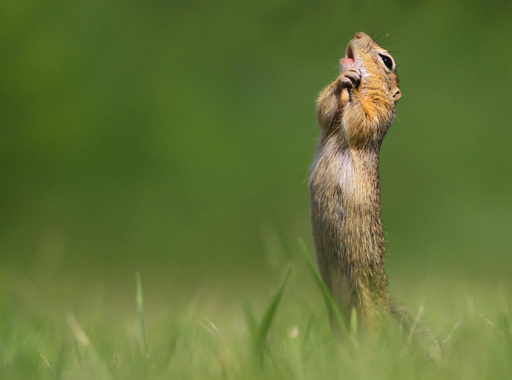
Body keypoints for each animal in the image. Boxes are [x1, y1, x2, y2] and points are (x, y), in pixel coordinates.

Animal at [310, 31, 402, 330]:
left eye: (387, 61)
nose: (358, 34)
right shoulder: (329, 121)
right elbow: (325, 110)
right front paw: (343, 80)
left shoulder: (378, 113)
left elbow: (362, 119)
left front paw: (353, 82)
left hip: (367, 303)